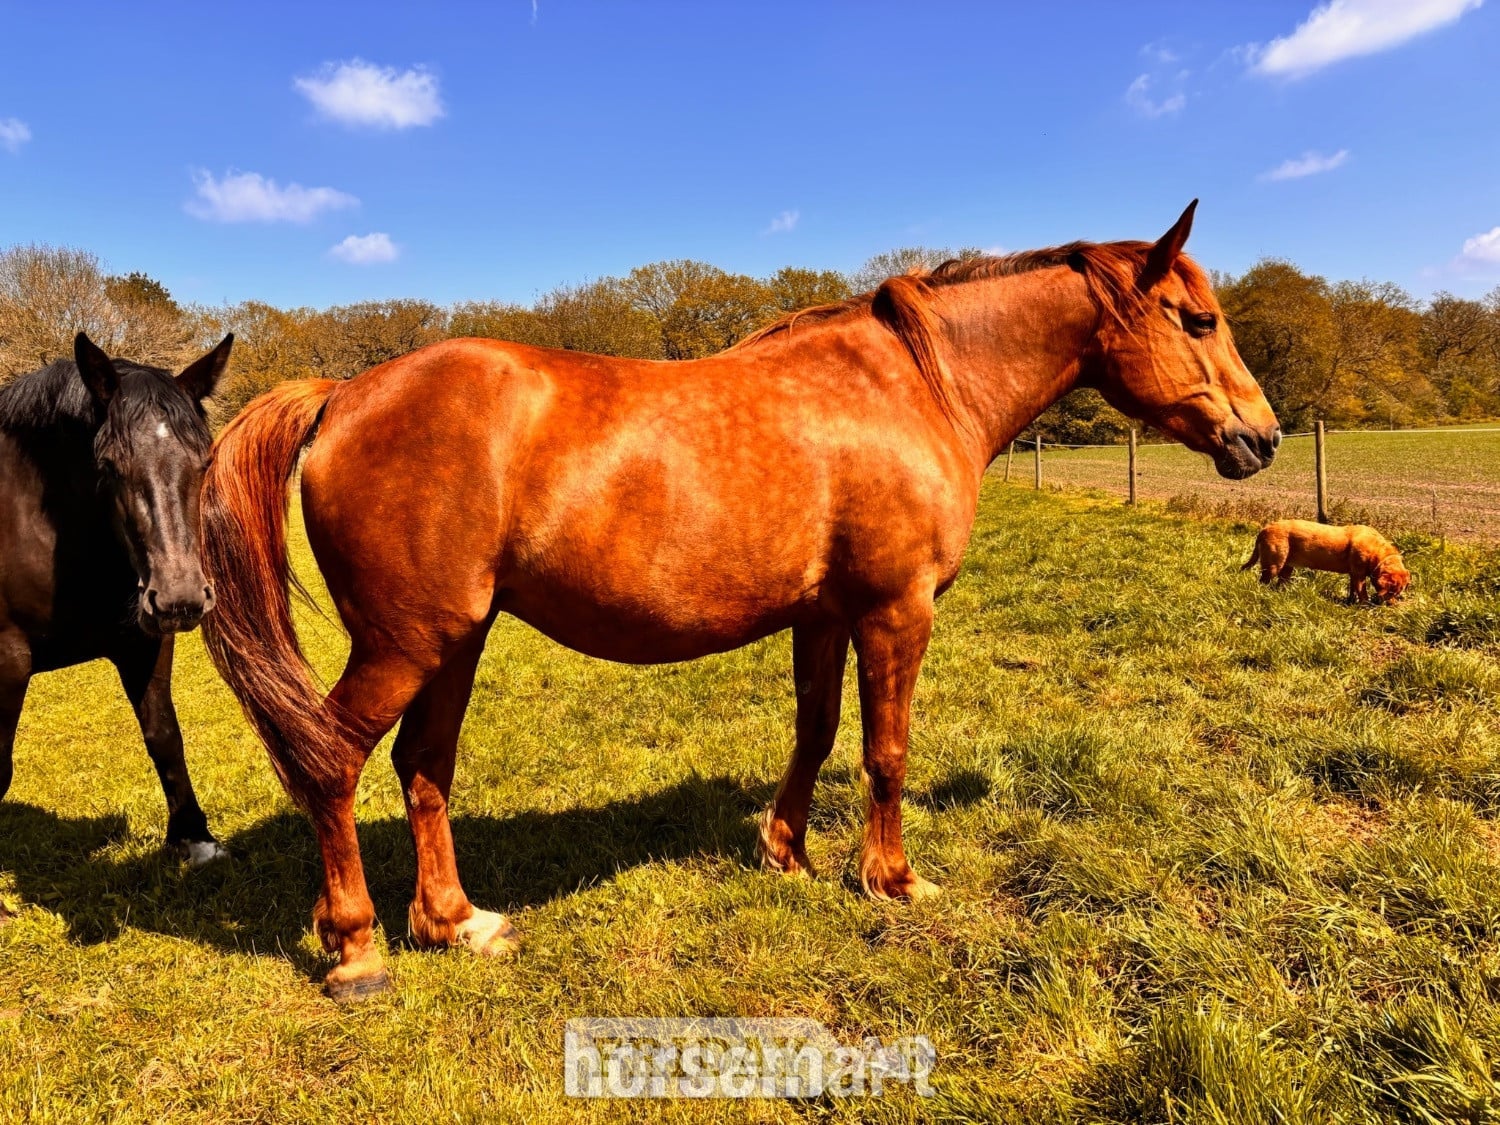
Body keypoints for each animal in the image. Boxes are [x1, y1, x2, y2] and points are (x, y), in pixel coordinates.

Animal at [0, 332, 233, 865]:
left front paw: (195, 839)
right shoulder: (7, 660)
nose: (181, 598)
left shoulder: (143, 641)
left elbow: (164, 734)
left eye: (204, 461)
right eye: (107, 466)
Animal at [201, 201, 1280, 999]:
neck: (915, 387)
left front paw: (786, 852)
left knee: (423, 767)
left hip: (454, 640)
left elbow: (816, 730)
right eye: (1198, 320)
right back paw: (357, 951)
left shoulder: (826, 615)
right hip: (402, 643)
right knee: (332, 763)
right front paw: (891, 878)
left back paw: (456, 922)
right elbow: (886, 750)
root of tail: (344, 394)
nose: (1262, 438)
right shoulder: (896, 610)